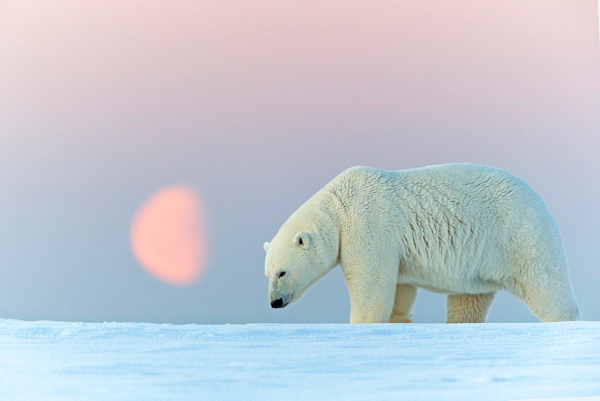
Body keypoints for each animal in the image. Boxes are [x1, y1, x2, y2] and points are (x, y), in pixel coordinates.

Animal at [264, 162, 580, 322]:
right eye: (268, 274)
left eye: (282, 272)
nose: (274, 302)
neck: (340, 206)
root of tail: (540, 201)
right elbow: (399, 291)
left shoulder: (368, 226)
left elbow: (370, 286)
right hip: (481, 263)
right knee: (468, 301)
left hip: (519, 235)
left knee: (546, 287)